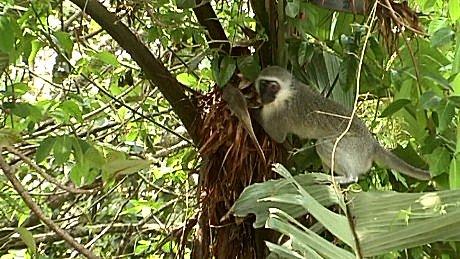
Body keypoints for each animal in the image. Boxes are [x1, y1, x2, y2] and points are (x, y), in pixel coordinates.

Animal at [255, 67, 432, 185]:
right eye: (263, 85)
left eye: (273, 86)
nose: (264, 96)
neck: (288, 93)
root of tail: (372, 145)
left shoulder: (280, 113)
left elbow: (277, 136)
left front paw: (251, 111)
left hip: (356, 148)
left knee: (323, 144)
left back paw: (347, 177)